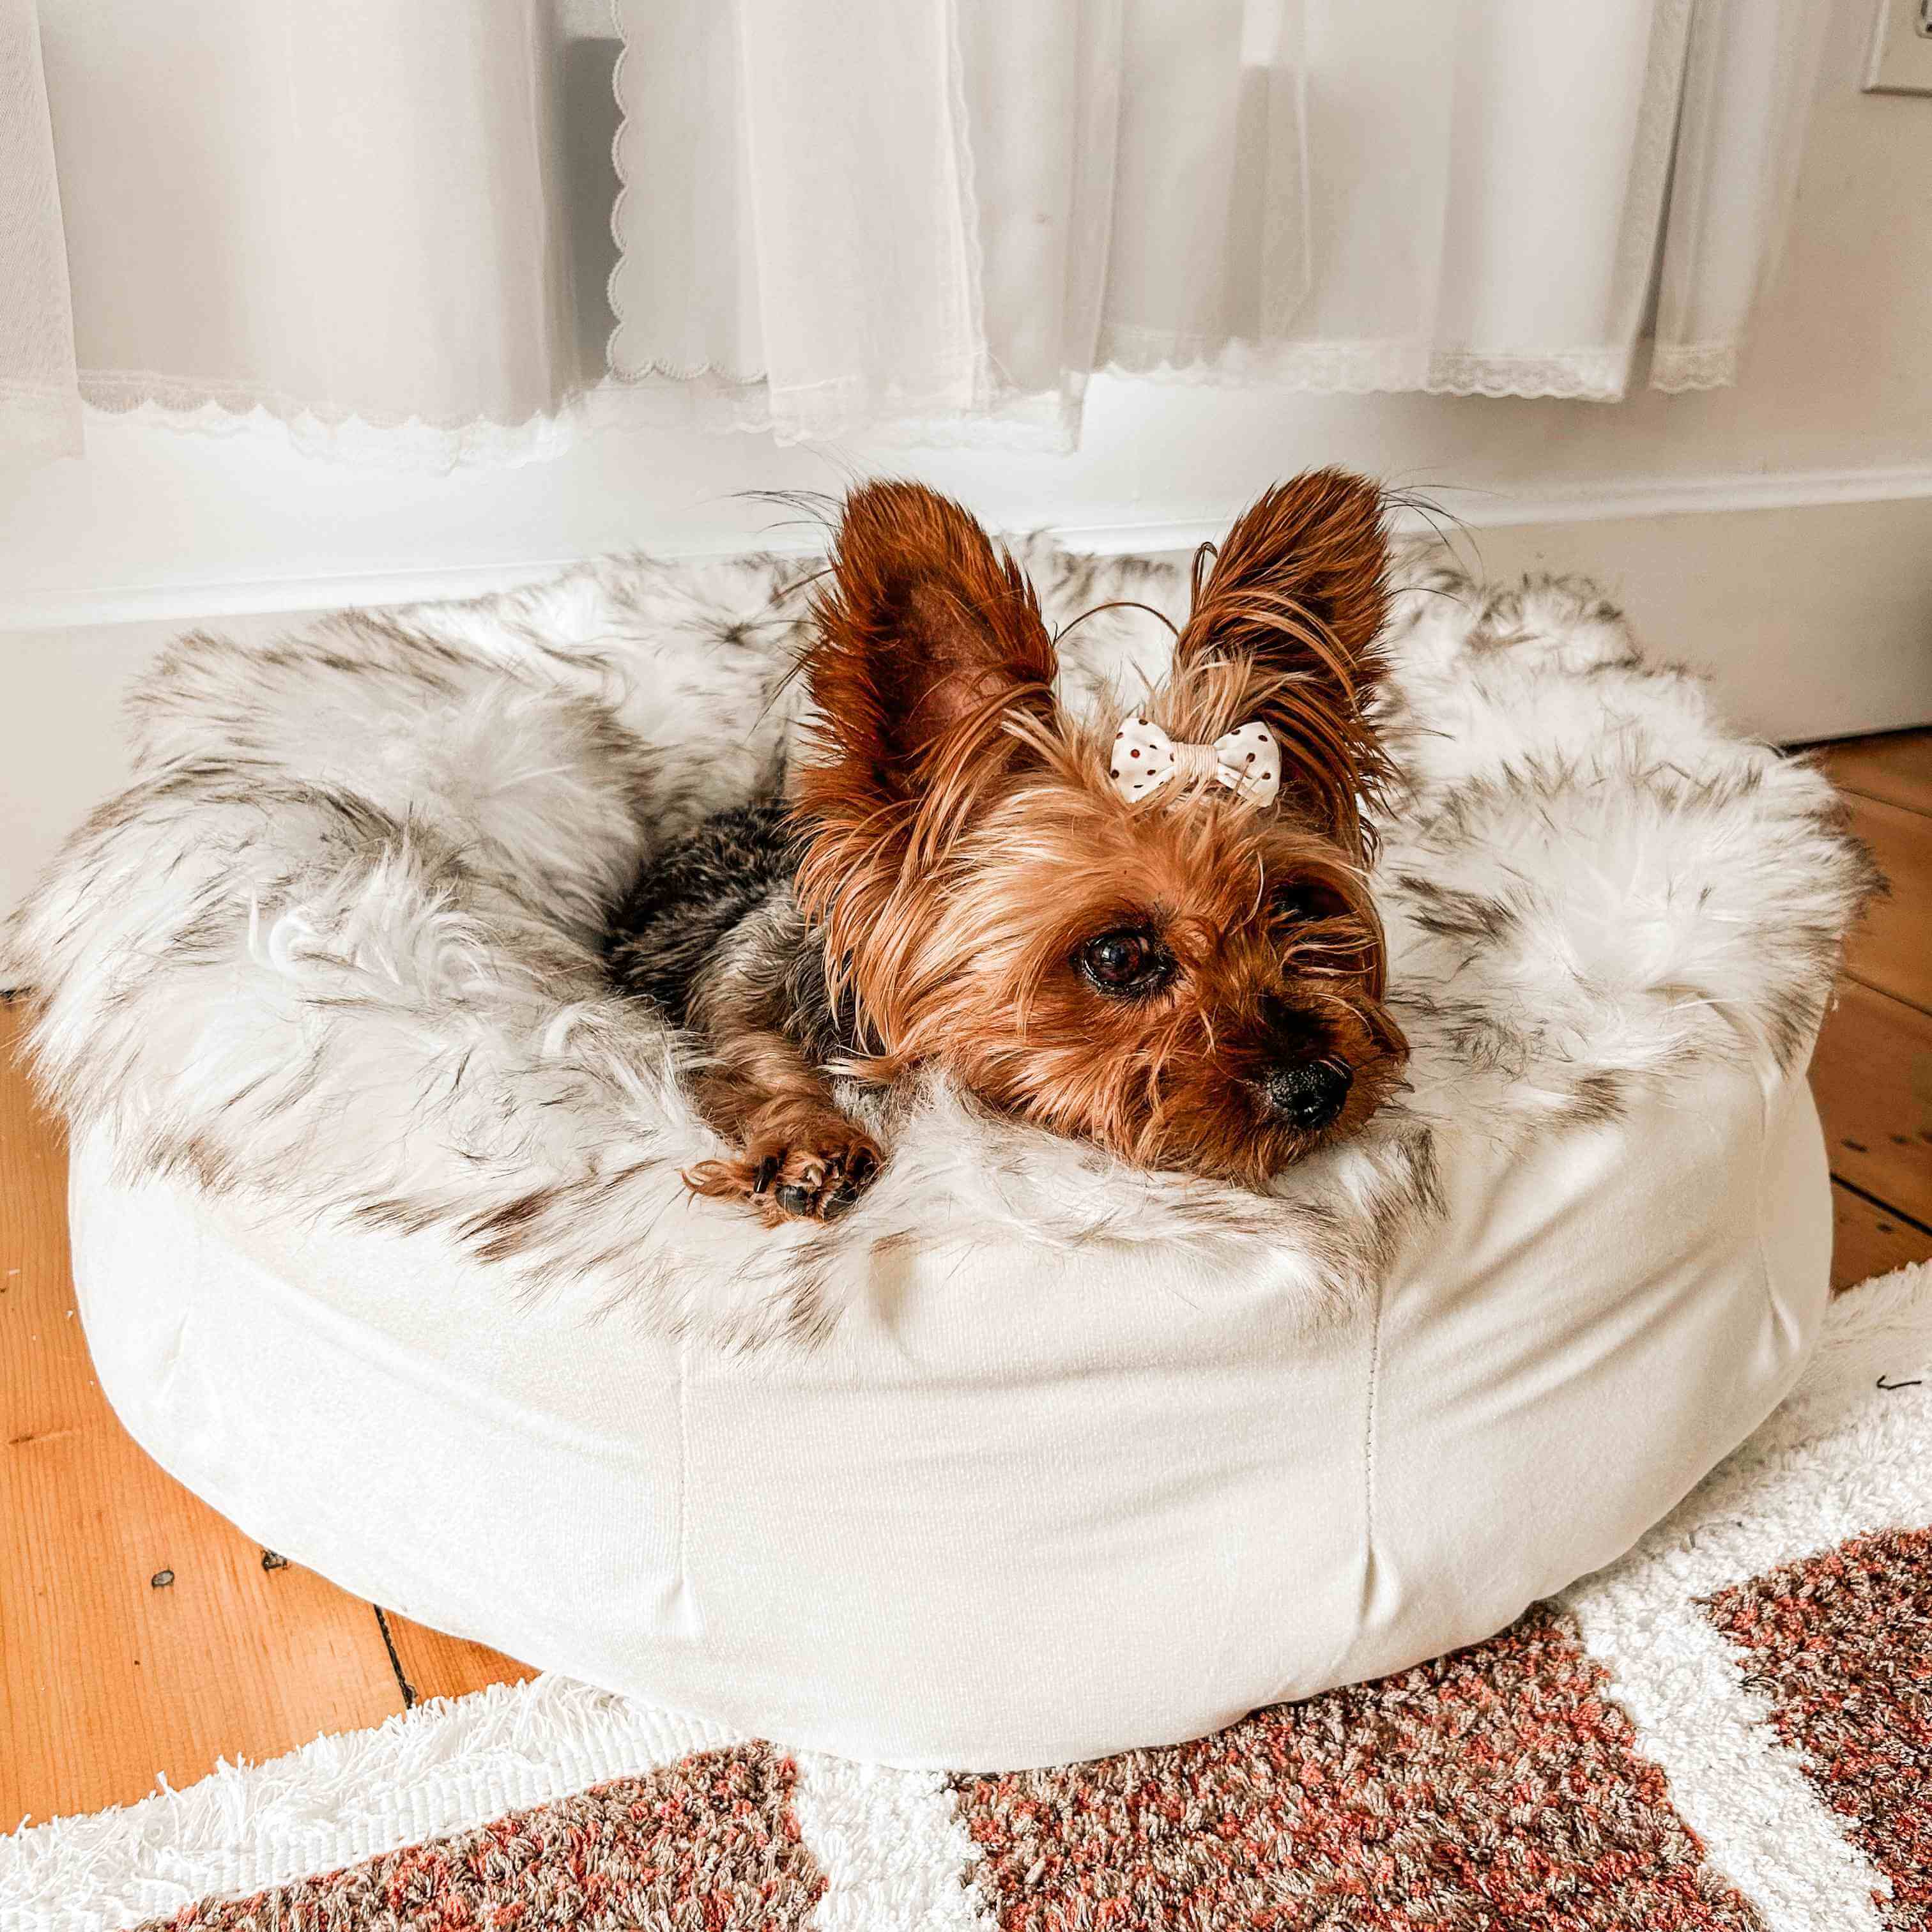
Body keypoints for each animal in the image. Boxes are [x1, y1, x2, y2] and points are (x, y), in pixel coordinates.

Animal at [610, 467, 1414, 1221]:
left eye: (1297, 905)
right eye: (1117, 957)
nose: (1317, 1086)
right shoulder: (732, 994)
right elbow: (753, 1060)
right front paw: (810, 1140)